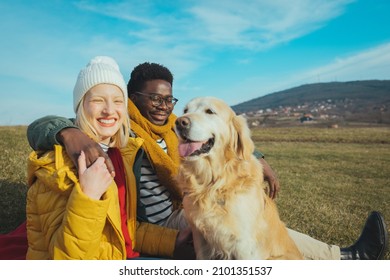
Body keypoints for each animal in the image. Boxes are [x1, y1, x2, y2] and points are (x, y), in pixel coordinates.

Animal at [175, 97, 304, 260]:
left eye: (210, 111)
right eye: (185, 110)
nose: (179, 122)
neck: (213, 183)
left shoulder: (243, 244)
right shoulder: (199, 238)